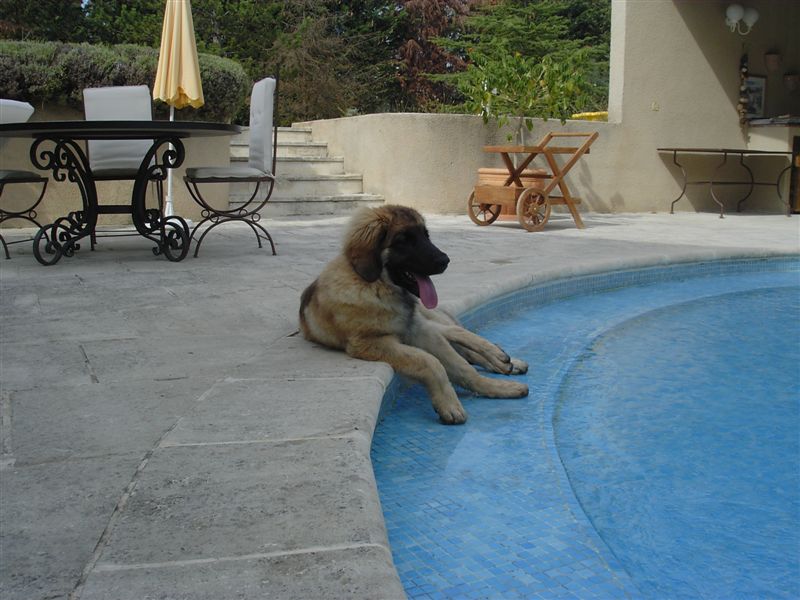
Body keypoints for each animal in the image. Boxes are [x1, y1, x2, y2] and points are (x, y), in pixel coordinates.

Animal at [299, 205, 528, 424]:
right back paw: (504, 362)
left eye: (426, 236)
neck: (377, 286)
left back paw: (503, 358)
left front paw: (494, 387)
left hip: (429, 319)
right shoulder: (371, 342)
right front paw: (449, 403)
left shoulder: (420, 331)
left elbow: (462, 367)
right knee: (459, 343)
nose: (445, 260)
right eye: (404, 241)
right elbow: (431, 362)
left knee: (457, 333)